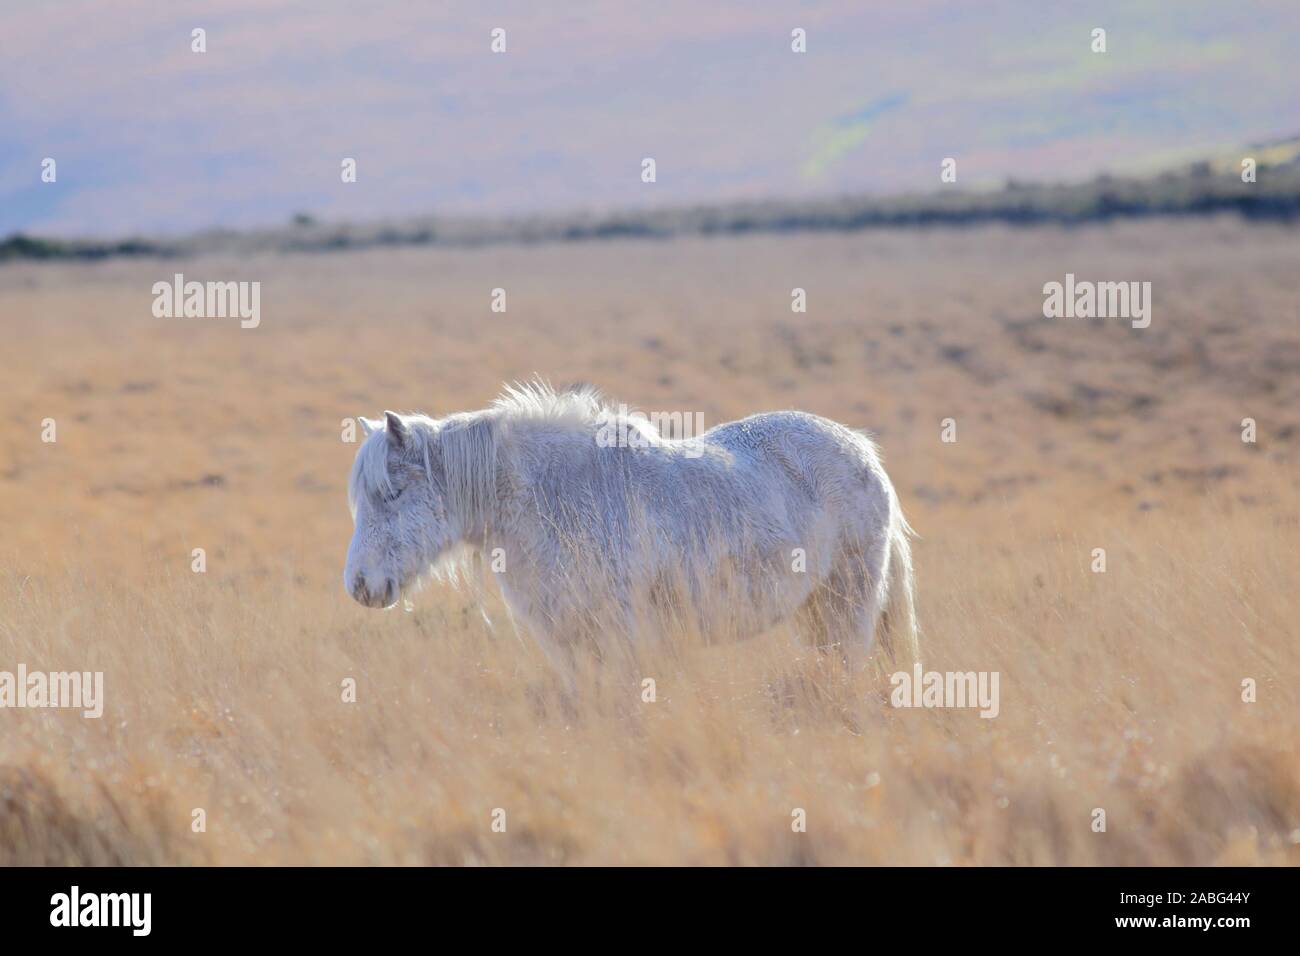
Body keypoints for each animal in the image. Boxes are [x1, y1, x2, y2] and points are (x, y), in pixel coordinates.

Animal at [340, 382, 920, 681]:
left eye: (393, 493)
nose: (360, 586)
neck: (553, 496)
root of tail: (863, 452)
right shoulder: (568, 647)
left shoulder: (617, 641)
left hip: (849, 606)